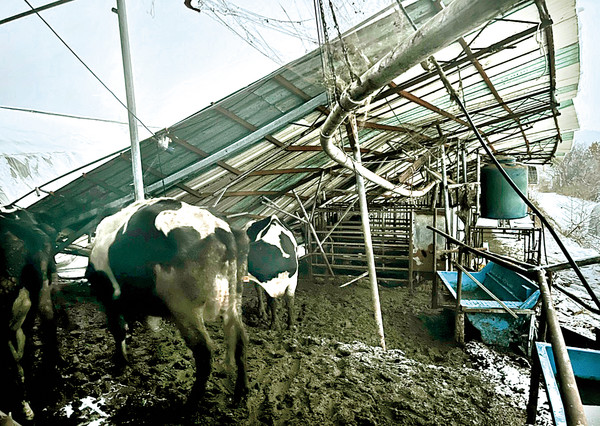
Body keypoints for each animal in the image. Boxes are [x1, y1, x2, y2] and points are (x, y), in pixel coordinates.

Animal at [85, 198, 250, 404]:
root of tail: (220, 227)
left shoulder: (108, 301)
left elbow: (118, 331)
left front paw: (120, 363)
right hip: (234, 298)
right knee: (240, 339)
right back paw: (241, 391)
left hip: (184, 307)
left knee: (204, 350)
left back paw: (191, 402)